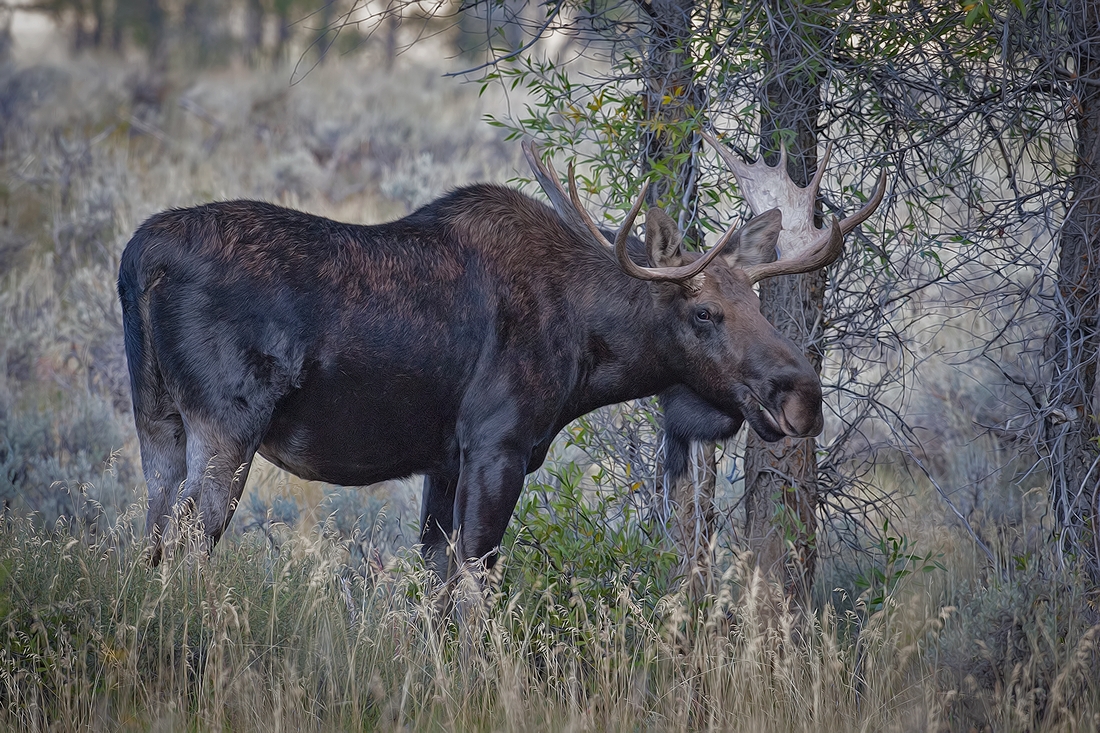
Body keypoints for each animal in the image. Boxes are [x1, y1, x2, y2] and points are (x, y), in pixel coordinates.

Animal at [118, 134, 884, 572]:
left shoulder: (443, 460)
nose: (802, 396)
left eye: (757, 303)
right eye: (704, 312)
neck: (588, 351)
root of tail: (137, 260)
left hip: (159, 422)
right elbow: (475, 589)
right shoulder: (497, 445)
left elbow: (435, 588)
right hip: (226, 425)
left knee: (148, 541)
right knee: (185, 549)